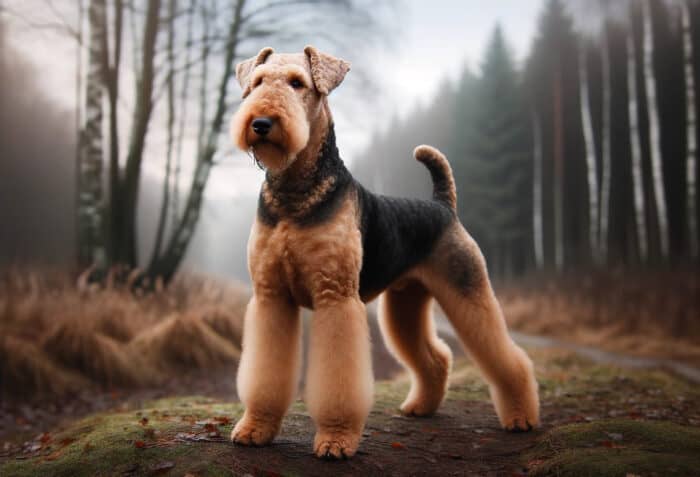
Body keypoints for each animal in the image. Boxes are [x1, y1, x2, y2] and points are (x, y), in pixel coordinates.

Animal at [227, 46, 540, 460]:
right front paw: (255, 428)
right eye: (259, 81)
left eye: (297, 82)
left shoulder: (335, 297)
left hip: (468, 290)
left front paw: (336, 439)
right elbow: (265, 372)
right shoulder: (271, 297)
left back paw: (521, 417)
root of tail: (444, 206)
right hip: (405, 305)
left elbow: (338, 381)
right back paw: (421, 406)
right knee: (436, 358)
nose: (261, 123)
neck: (296, 195)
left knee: (508, 357)